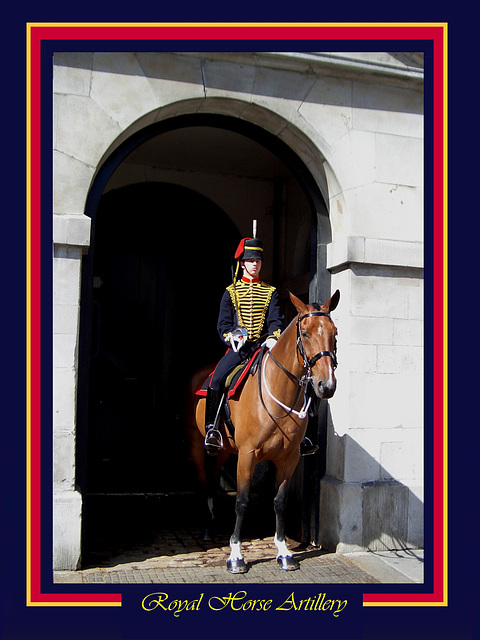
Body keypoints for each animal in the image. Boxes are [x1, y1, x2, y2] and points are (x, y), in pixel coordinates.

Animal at [186, 290, 340, 576]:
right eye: (305, 333)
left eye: (334, 333)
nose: (326, 385)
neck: (279, 393)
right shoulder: (247, 456)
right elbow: (242, 501)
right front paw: (236, 555)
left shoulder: (289, 458)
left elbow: (279, 501)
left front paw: (284, 552)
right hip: (197, 443)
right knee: (204, 479)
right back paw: (207, 527)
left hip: (225, 450)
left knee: (213, 477)